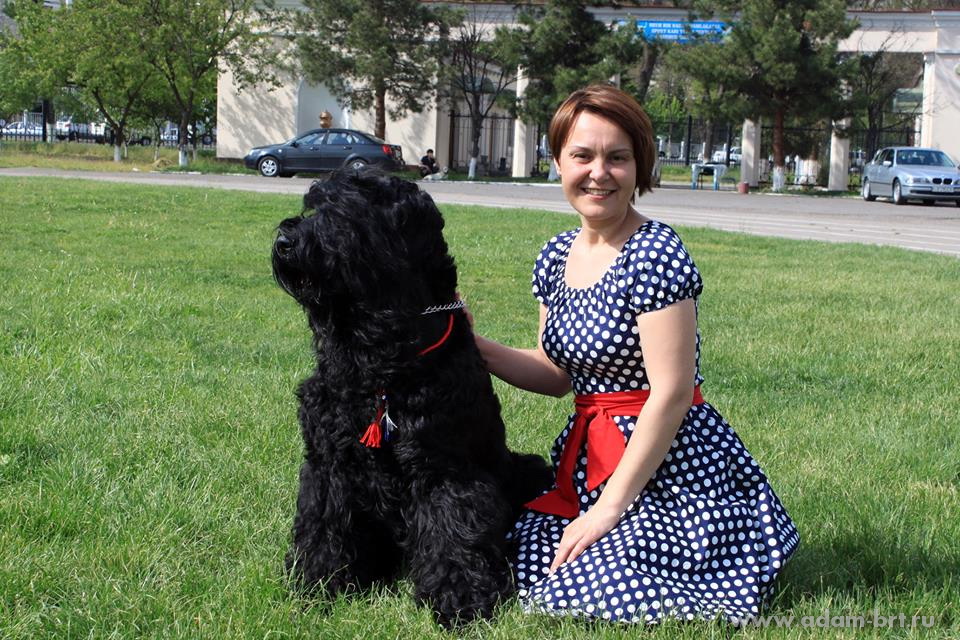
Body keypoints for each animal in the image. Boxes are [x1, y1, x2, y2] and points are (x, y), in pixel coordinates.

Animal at [272, 170, 551, 627]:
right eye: (316, 205)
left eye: (350, 210)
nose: (285, 241)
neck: (379, 360)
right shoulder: (327, 463)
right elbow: (322, 524)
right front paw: (315, 581)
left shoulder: (443, 467)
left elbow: (453, 529)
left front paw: (460, 598)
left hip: (528, 470)